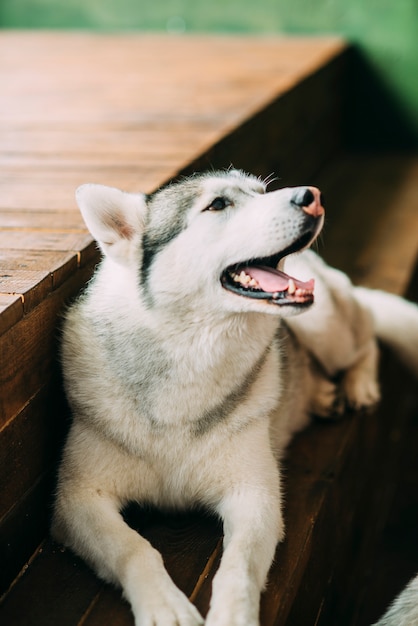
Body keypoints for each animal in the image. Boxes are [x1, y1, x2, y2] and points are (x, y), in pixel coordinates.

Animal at [52, 169, 418, 624]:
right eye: (218, 205)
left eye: (261, 192)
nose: (312, 196)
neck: (191, 357)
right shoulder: (78, 501)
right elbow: (134, 548)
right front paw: (164, 605)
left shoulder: (254, 497)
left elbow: (238, 567)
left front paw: (233, 615)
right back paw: (320, 395)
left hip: (326, 326)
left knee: (367, 334)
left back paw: (358, 385)